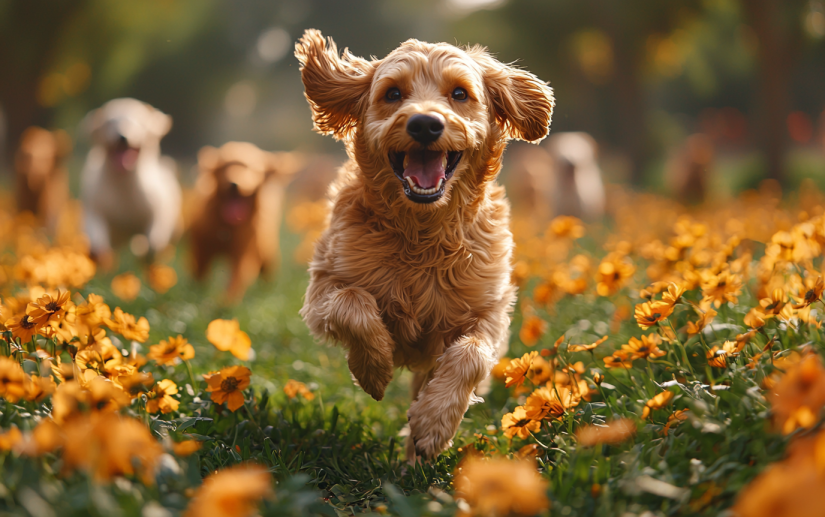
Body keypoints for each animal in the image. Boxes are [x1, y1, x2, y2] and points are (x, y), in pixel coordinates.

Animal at [79, 99, 182, 266]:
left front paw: (151, 249)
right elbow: (95, 229)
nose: (122, 137)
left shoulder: (158, 209)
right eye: (110, 122)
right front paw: (98, 251)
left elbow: (156, 232)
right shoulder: (94, 206)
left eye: (139, 122)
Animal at [189, 142, 300, 302]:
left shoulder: (242, 251)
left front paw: (227, 300)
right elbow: (200, 272)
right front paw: (198, 291)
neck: (227, 227)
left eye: (250, 168)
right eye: (225, 166)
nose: (234, 184)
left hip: (267, 248)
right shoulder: (202, 248)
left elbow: (237, 276)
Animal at [296, 30, 552, 458]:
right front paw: (374, 369)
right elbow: (354, 304)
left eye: (460, 93)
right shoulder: (324, 285)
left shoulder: (489, 310)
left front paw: (434, 423)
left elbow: (471, 354)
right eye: (393, 93)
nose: (426, 124)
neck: (422, 233)